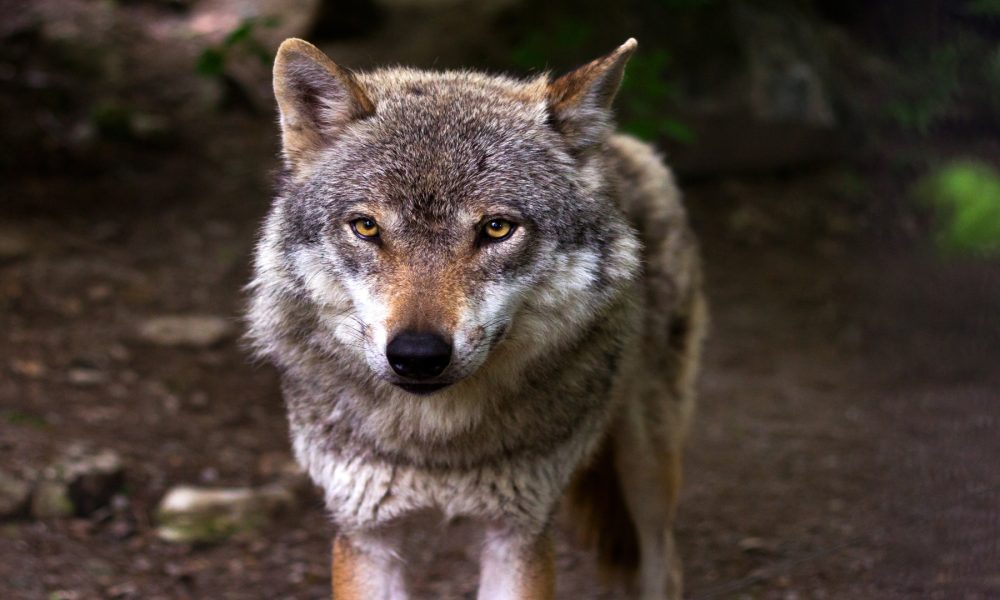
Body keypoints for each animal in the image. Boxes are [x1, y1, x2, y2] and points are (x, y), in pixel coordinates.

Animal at [247, 36, 707, 600]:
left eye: (496, 228)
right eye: (366, 227)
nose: (417, 356)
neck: (437, 443)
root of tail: (617, 143)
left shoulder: (518, 532)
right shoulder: (366, 532)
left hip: (647, 466)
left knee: (665, 560)